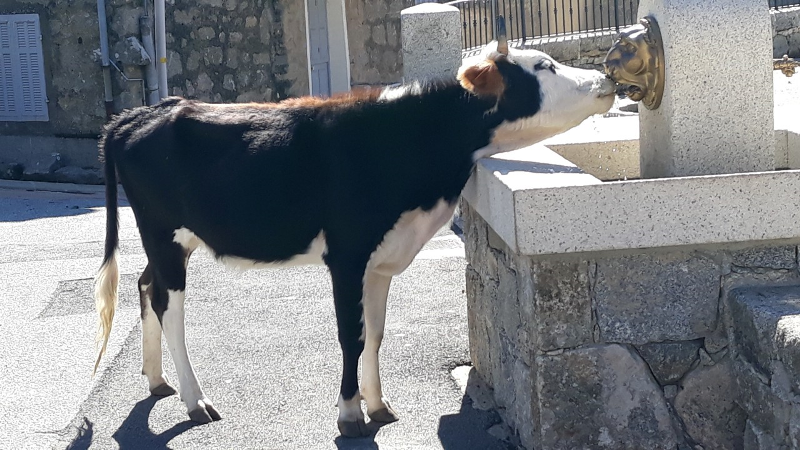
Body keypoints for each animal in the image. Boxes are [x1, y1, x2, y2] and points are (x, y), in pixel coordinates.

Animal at [95, 43, 620, 436]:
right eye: (544, 66)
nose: (607, 79)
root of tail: (137, 115)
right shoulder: (346, 255)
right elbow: (352, 333)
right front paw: (349, 414)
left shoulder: (382, 260)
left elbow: (377, 333)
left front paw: (378, 404)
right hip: (162, 234)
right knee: (170, 307)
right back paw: (195, 400)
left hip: (173, 240)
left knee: (146, 287)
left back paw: (157, 380)